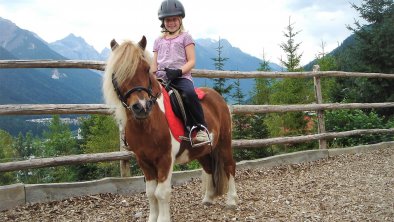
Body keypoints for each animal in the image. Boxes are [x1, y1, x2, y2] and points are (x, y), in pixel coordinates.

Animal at [102, 35, 237, 221]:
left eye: (146, 69)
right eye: (116, 74)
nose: (141, 107)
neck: (148, 124)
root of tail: (218, 98)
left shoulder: (165, 159)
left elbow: (161, 193)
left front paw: (163, 218)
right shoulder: (144, 161)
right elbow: (150, 193)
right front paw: (152, 218)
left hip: (224, 142)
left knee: (230, 166)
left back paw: (231, 201)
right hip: (201, 150)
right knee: (209, 167)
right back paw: (208, 198)